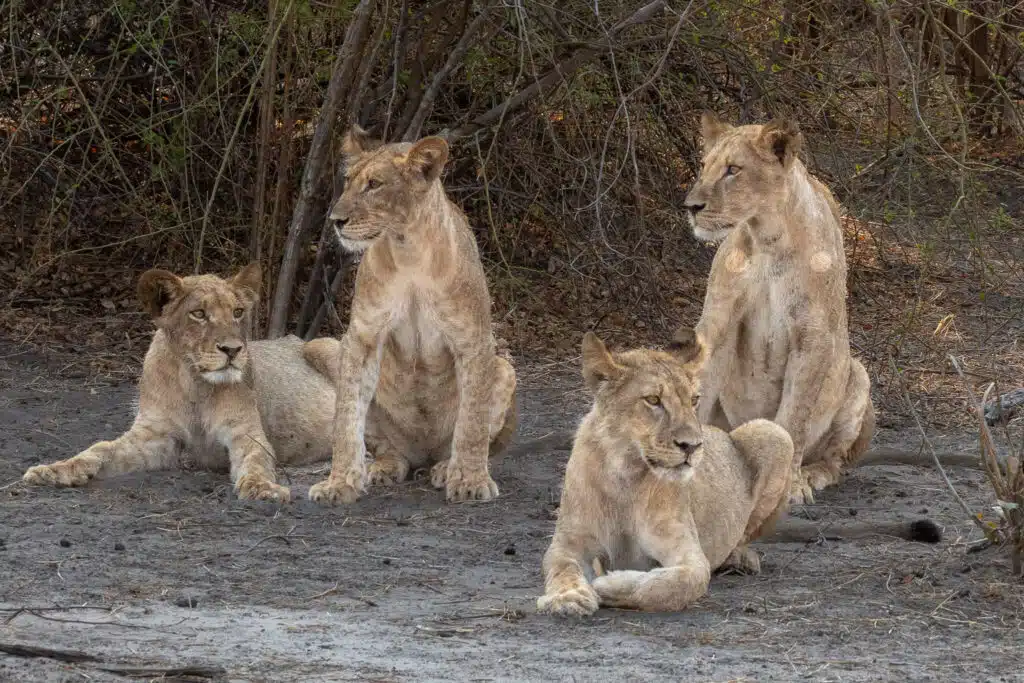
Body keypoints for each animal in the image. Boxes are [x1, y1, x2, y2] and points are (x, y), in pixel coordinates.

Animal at [22, 264, 336, 503]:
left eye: (237, 312)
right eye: (199, 314)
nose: (233, 350)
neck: (194, 382)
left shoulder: (245, 433)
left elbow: (255, 461)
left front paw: (262, 488)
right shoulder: (155, 437)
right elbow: (99, 448)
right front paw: (54, 470)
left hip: (320, 344)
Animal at [305, 126, 517, 506]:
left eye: (374, 184)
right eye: (348, 181)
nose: (335, 221)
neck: (409, 250)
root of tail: (423, 453)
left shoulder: (473, 338)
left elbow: (472, 422)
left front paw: (470, 480)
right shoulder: (361, 338)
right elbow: (347, 417)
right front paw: (338, 483)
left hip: (505, 369)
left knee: (458, 440)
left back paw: (446, 467)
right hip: (327, 351)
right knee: (389, 449)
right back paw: (384, 468)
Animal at [537, 328, 796, 616]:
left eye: (694, 400)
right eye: (653, 400)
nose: (692, 446)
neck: (625, 477)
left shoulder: (689, 554)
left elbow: (673, 584)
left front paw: (611, 584)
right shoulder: (568, 543)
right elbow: (562, 569)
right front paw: (568, 598)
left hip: (774, 432)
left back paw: (739, 558)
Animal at [683, 112, 874, 505]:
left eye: (733, 169)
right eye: (705, 167)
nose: (691, 207)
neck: (768, 238)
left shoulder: (813, 337)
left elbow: (794, 417)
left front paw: (790, 485)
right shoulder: (718, 324)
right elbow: (700, 394)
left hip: (859, 373)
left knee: (835, 460)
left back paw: (814, 473)